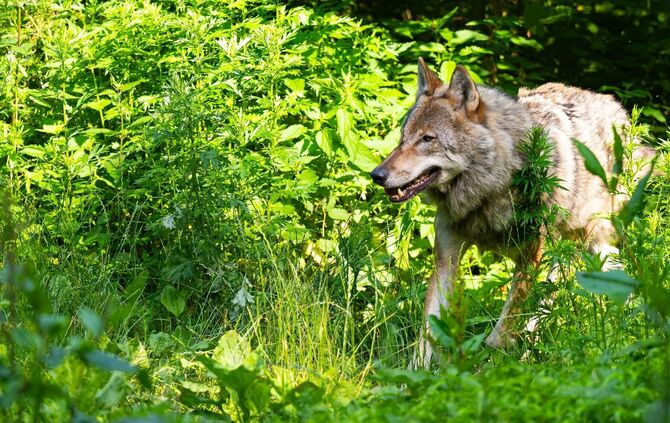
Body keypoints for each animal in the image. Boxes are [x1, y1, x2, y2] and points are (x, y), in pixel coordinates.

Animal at [371, 58, 654, 368]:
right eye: (403, 138)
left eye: (427, 139)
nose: (377, 175)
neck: (488, 192)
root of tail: (615, 106)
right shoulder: (446, 260)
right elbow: (426, 334)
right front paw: (410, 377)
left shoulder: (531, 258)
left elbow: (502, 332)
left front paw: (490, 369)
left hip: (582, 247)